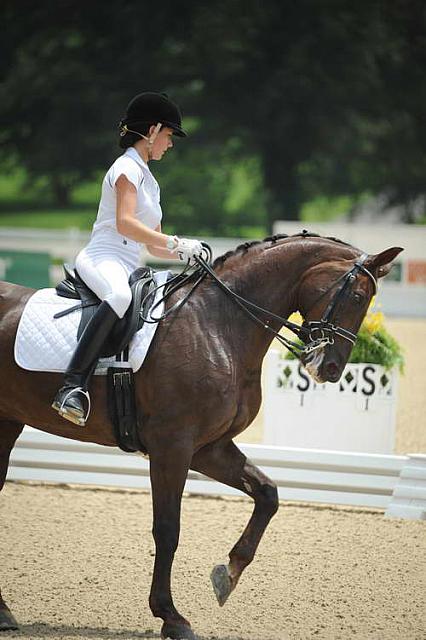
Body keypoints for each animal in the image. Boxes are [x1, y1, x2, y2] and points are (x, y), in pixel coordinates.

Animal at [0, 235, 402, 640]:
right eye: (358, 296)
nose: (331, 369)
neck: (218, 325)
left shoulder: (210, 449)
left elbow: (268, 494)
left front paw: (228, 574)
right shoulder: (172, 447)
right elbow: (168, 530)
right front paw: (171, 617)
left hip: (8, 423)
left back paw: (4, 611)